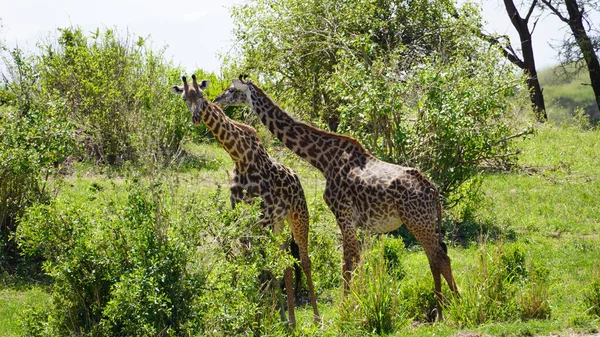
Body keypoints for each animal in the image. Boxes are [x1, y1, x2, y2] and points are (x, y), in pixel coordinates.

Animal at [169, 74, 318, 326]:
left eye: (201, 96)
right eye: (184, 99)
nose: (196, 118)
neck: (240, 157)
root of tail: (297, 180)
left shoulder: (261, 219)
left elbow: (263, 267)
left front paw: (258, 315)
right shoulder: (243, 218)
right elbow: (248, 263)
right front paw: (249, 312)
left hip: (298, 215)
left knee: (304, 260)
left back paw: (315, 319)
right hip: (277, 224)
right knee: (286, 264)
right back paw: (290, 319)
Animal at [214, 77, 460, 320]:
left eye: (232, 89)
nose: (217, 99)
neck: (324, 161)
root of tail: (433, 191)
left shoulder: (342, 213)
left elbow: (348, 262)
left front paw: (347, 309)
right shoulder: (355, 221)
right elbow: (354, 259)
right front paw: (357, 304)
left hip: (417, 221)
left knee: (439, 257)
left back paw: (451, 308)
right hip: (425, 222)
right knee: (436, 257)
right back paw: (445, 307)